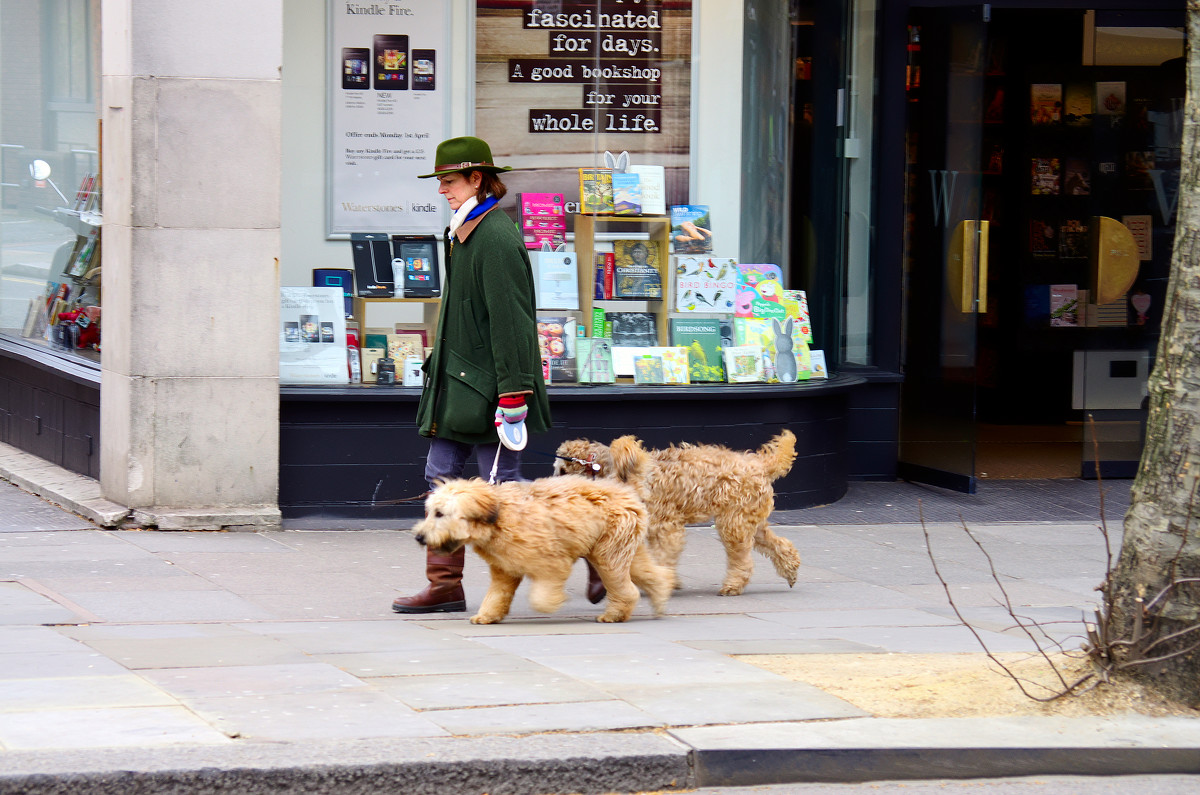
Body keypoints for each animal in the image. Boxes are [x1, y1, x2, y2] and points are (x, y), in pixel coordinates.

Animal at [412, 475, 676, 624]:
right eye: (430, 511)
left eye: (440, 513)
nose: (419, 537)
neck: (498, 516)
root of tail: (630, 495)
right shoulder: (504, 568)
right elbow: (497, 594)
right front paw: (487, 615)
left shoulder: (553, 562)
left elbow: (542, 595)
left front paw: (552, 603)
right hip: (622, 550)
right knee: (651, 574)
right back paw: (661, 594)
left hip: (608, 555)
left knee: (625, 589)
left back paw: (615, 615)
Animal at [554, 429, 801, 598]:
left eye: (563, 470)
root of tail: (760, 463)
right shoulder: (654, 529)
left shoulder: (666, 529)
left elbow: (663, 556)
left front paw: (661, 581)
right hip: (750, 521)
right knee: (780, 545)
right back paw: (790, 571)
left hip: (734, 524)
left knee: (742, 559)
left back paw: (733, 585)